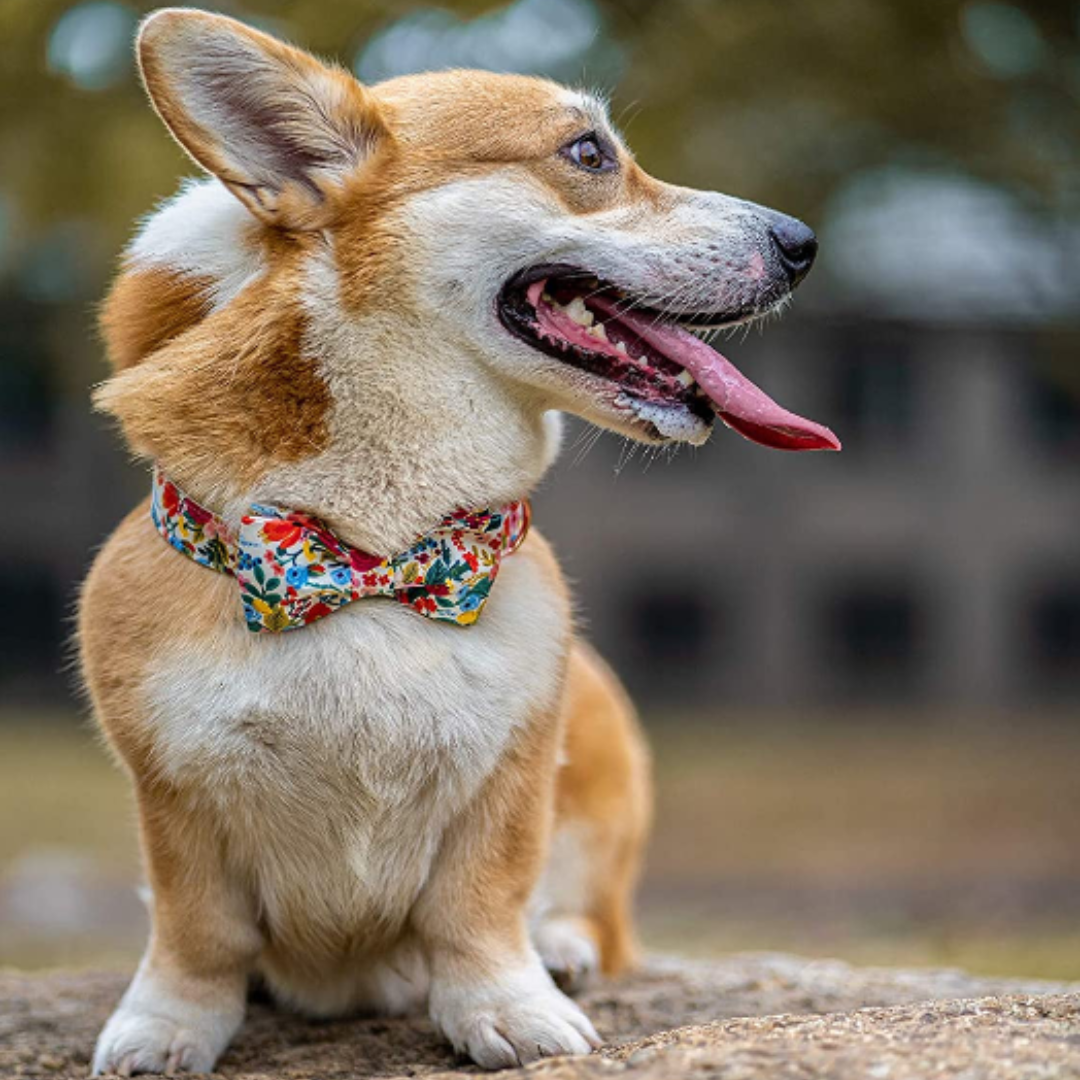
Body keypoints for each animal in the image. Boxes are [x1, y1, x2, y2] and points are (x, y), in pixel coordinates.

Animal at [79, 6, 833, 1071]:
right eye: (588, 152)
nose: (804, 242)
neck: (372, 553)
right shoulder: (174, 796)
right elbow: (195, 933)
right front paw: (167, 1027)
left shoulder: (506, 783)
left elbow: (482, 907)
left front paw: (510, 1011)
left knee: (592, 915)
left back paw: (562, 950)